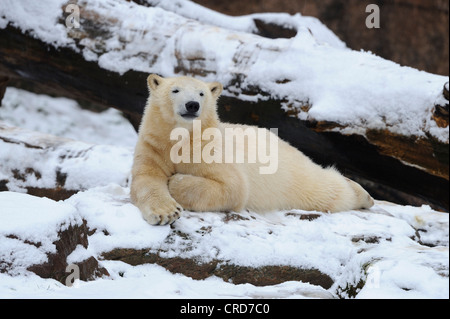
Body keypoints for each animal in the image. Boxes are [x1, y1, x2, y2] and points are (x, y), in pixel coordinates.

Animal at [129, 74, 372, 226]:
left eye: (201, 94)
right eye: (175, 90)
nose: (192, 105)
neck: (182, 139)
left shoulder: (210, 149)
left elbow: (233, 186)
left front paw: (175, 180)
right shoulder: (154, 146)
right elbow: (147, 180)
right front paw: (166, 213)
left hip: (291, 177)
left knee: (325, 189)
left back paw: (364, 195)